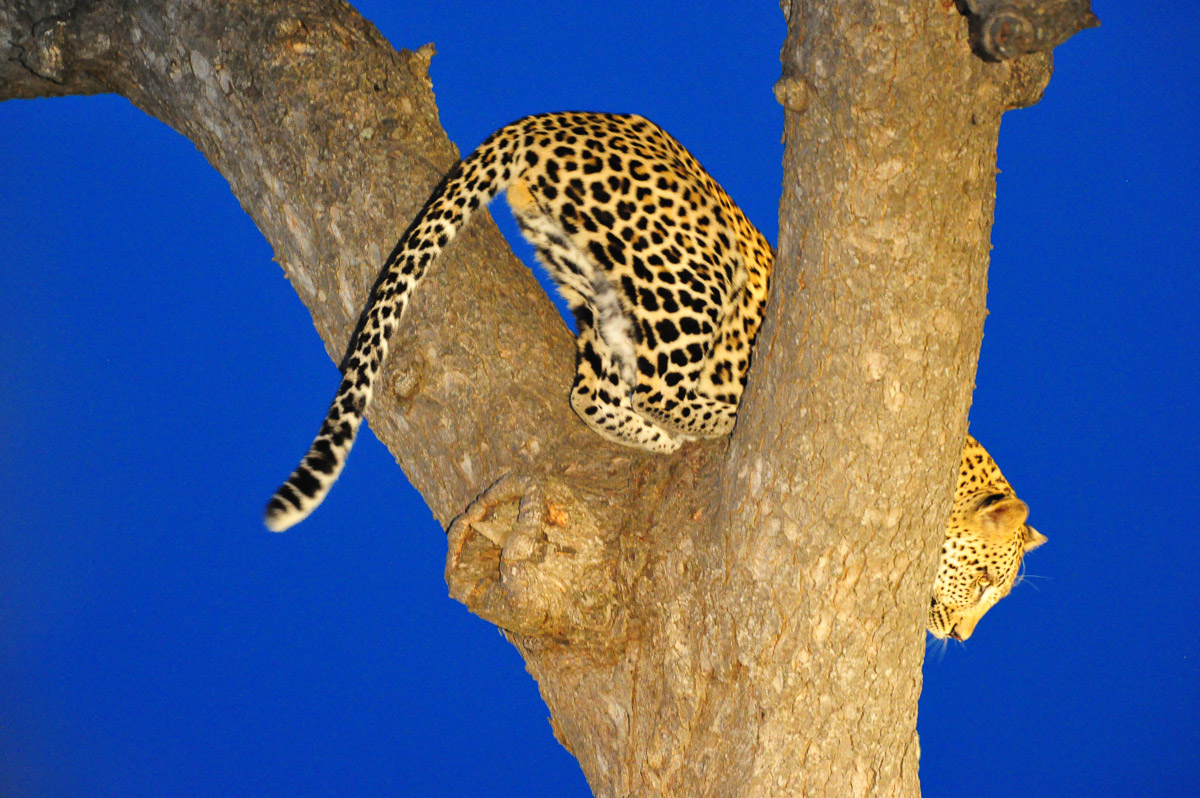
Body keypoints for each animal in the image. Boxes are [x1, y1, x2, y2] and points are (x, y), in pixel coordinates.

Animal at [264, 112, 1044, 639]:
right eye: (981, 580)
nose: (957, 635)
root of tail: (559, 117)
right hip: (684, 270)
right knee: (657, 381)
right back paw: (712, 424)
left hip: (593, 279)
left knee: (592, 389)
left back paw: (653, 433)